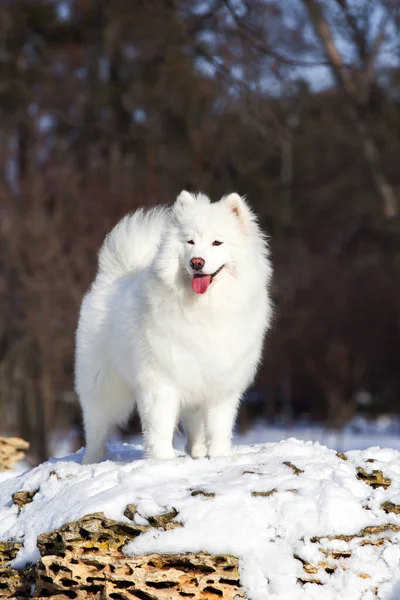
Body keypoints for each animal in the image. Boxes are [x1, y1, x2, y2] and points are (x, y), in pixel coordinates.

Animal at [76, 190, 272, 462]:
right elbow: (160, 427)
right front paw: (162, 460)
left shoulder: (221, 384)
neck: (205, 309)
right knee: (96, 428)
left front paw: (220, 457)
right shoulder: (160, 381)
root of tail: (112, 276)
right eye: (190, 242)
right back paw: (91, 460)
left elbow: (219, 426)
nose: (197, 262)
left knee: (194, 429)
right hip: (103, 386)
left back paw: (197, 453)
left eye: (217, 243)